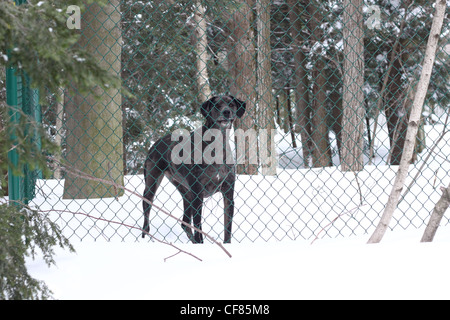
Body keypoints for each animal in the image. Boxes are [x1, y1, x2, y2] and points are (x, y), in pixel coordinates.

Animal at [142, 95, 246, 242]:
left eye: (231, 104)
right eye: (217, 105)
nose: (227, 112)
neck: (218, 143)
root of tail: (156, 142)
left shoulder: (228, 194)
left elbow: (227, 231)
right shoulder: (198, 195)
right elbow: (199, 231)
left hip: (186, 192)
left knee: (185, 222)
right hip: (152, 185)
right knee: (146, 213)